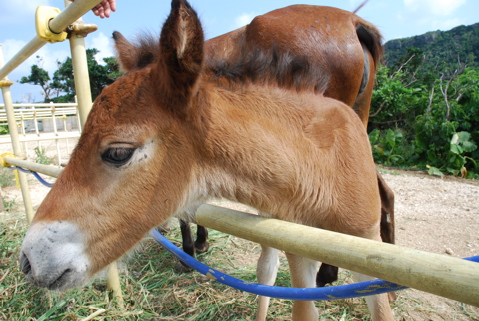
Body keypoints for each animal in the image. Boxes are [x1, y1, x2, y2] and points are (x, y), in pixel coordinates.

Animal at [18, 1, 396, 318]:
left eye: (118, 153)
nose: (29, 260)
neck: (322, 168)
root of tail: (353, 22)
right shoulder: (296, 249)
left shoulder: (362, 243)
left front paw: (192, 249)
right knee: (266, 269)